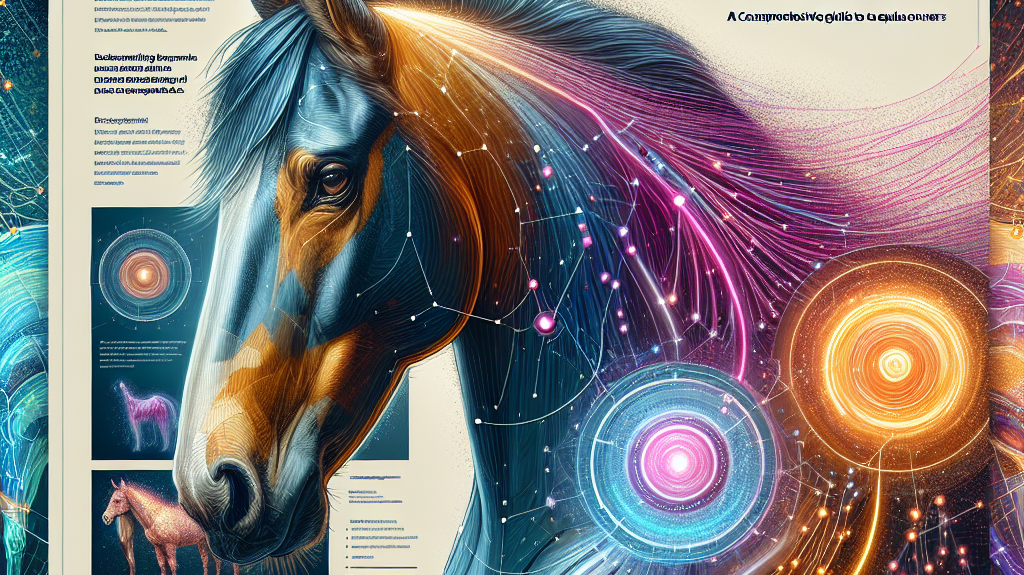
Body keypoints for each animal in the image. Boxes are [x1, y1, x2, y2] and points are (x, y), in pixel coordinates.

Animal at [102, 479, 238, 575]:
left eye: (117, 500)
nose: (105, 518)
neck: (155, 517)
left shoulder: (170, 546)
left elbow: (173, 566)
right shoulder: (158, 546)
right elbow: (162, 566)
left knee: (231, 562)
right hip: (203, 542)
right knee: (211, 561)